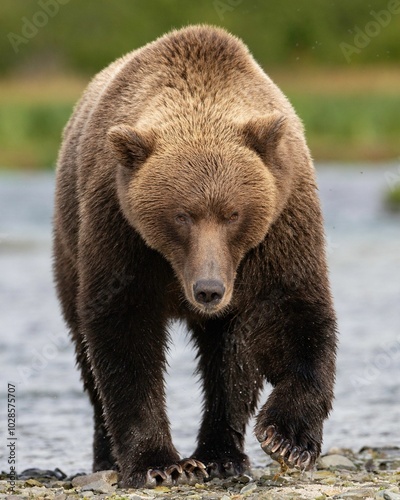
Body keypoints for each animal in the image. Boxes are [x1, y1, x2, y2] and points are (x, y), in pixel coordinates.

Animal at [51, 24, 336, 488]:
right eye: (181, 215)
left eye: (233, 213)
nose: (208, 290)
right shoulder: (121, 231)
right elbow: (124, 334)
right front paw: (158, 463)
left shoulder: (281, 225)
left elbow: (293, 314)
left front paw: (287, 439)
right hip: (69, 249)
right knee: (86, 355)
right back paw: (108, 458)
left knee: (231, 360)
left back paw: (222, 456)